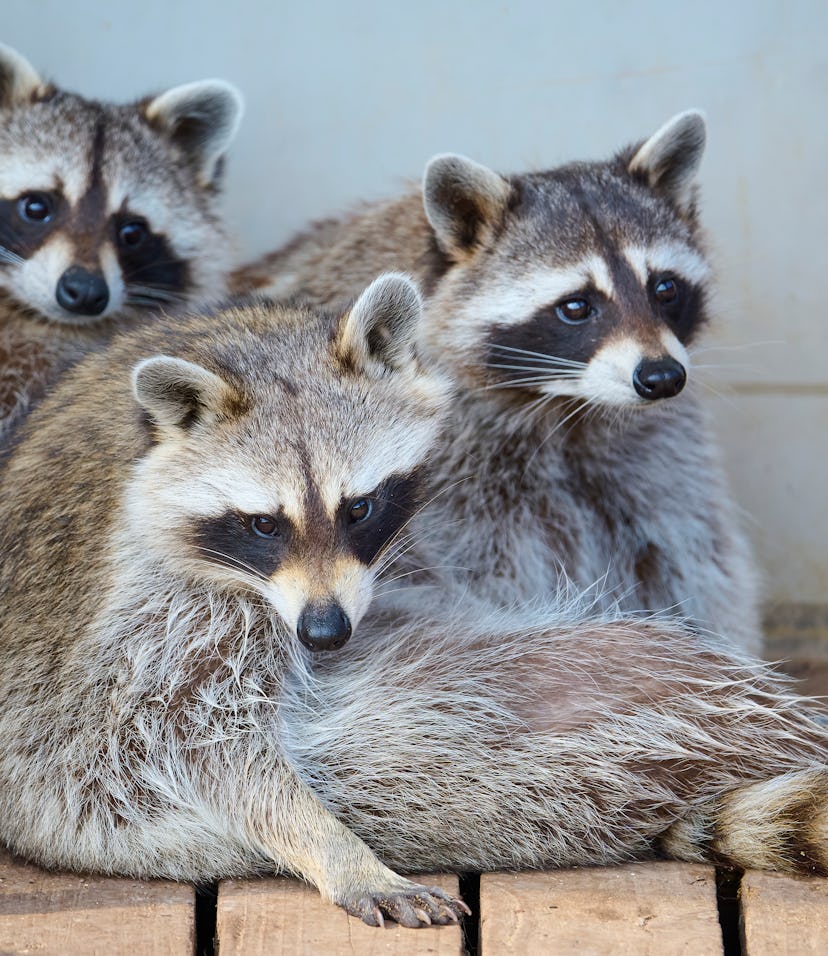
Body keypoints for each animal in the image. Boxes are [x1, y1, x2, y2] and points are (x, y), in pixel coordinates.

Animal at [1, 276, 826, 928]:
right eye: (264, 525)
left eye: (360, 508)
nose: (325, 633)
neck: (251, 344)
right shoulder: (164, 602)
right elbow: (195, 732)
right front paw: (338, 851)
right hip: (428, 755)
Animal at [234, 112, 761, 653]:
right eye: (576, 306)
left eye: (665, 288)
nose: (661, 377)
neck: (566, 403)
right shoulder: (450, 472)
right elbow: (486, 573)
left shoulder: (654, 444)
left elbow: (690, 550)